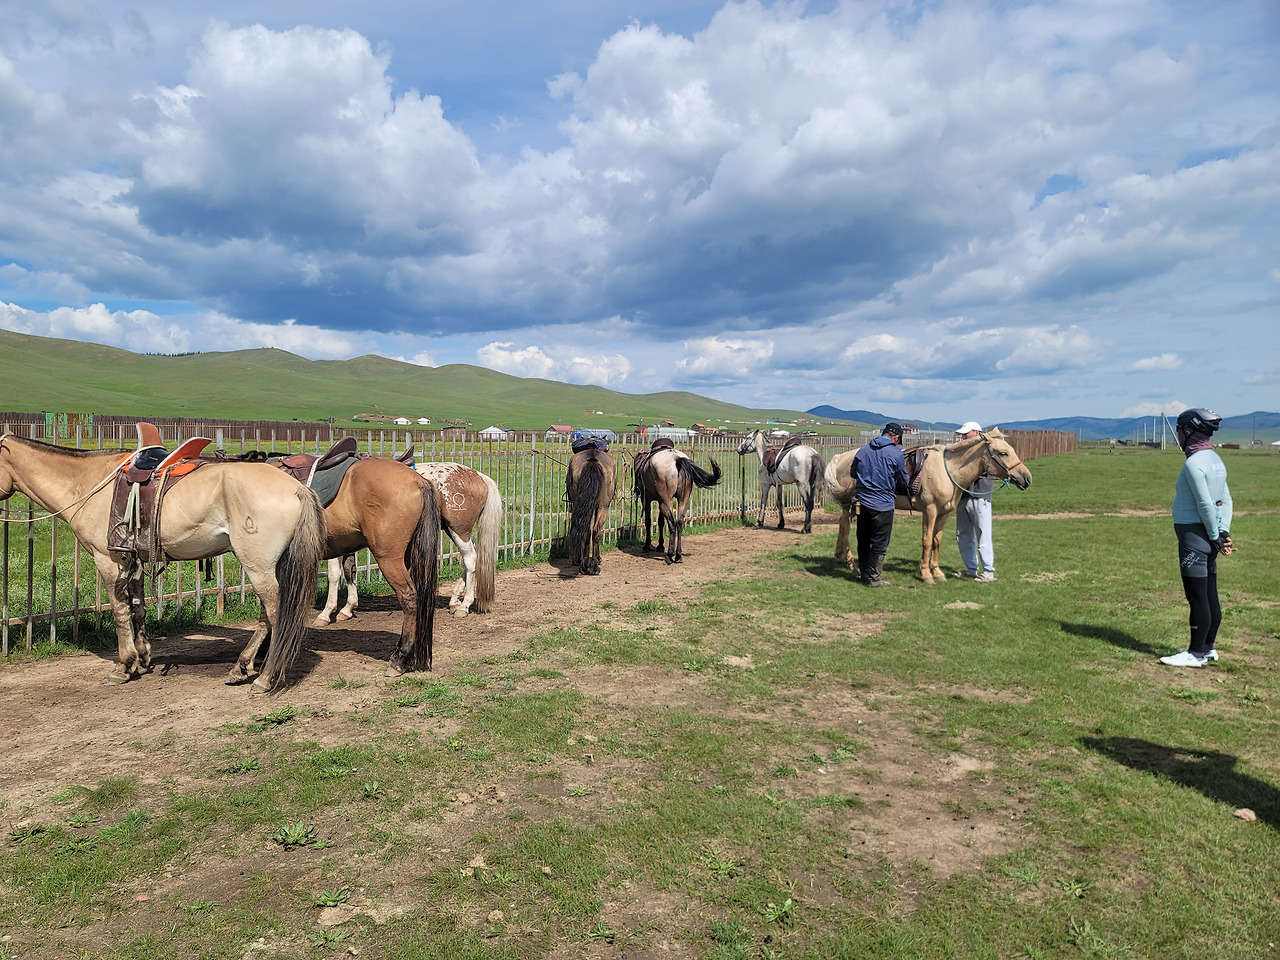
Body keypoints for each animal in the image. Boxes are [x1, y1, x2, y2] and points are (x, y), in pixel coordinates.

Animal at [0, 432, 326, 693]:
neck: (85, 484)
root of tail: (297, 488)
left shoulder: (108, 560)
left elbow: (119, 612)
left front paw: (123, 666)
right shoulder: (133, 559)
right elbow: (138, 608)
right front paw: (142, 659)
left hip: (258, 566)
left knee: (275, 615)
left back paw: (265, 677)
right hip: (267, 566)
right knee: (265, 618)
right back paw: (241, 667)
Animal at [317, 461, 501, 623]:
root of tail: (478, 476)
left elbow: (334, 574)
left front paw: (327, 612)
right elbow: (350, 570)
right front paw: (347, 608)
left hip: (459, 530)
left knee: (471, 560)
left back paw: (464, 605)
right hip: (453, 530)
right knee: (471, 559)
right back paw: (455, 600)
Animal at [565, 445, 616, 575]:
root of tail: (592, 458)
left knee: (588, 531)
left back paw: (586, 564)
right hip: (603, 507)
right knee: (595, 530)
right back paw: (593, 563)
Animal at [824, 428, 1032, 584]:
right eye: (1003, 453)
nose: (1027, 478)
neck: (948, 471)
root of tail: (842, 456)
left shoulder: (944, 513)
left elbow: (936, 541)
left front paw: (937, 572)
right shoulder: (930, 511)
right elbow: (926, 541)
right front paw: (926, 574)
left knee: (842, 526)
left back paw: (843, 558)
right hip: (849, 504)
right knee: (845, 527)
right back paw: (850, 562)